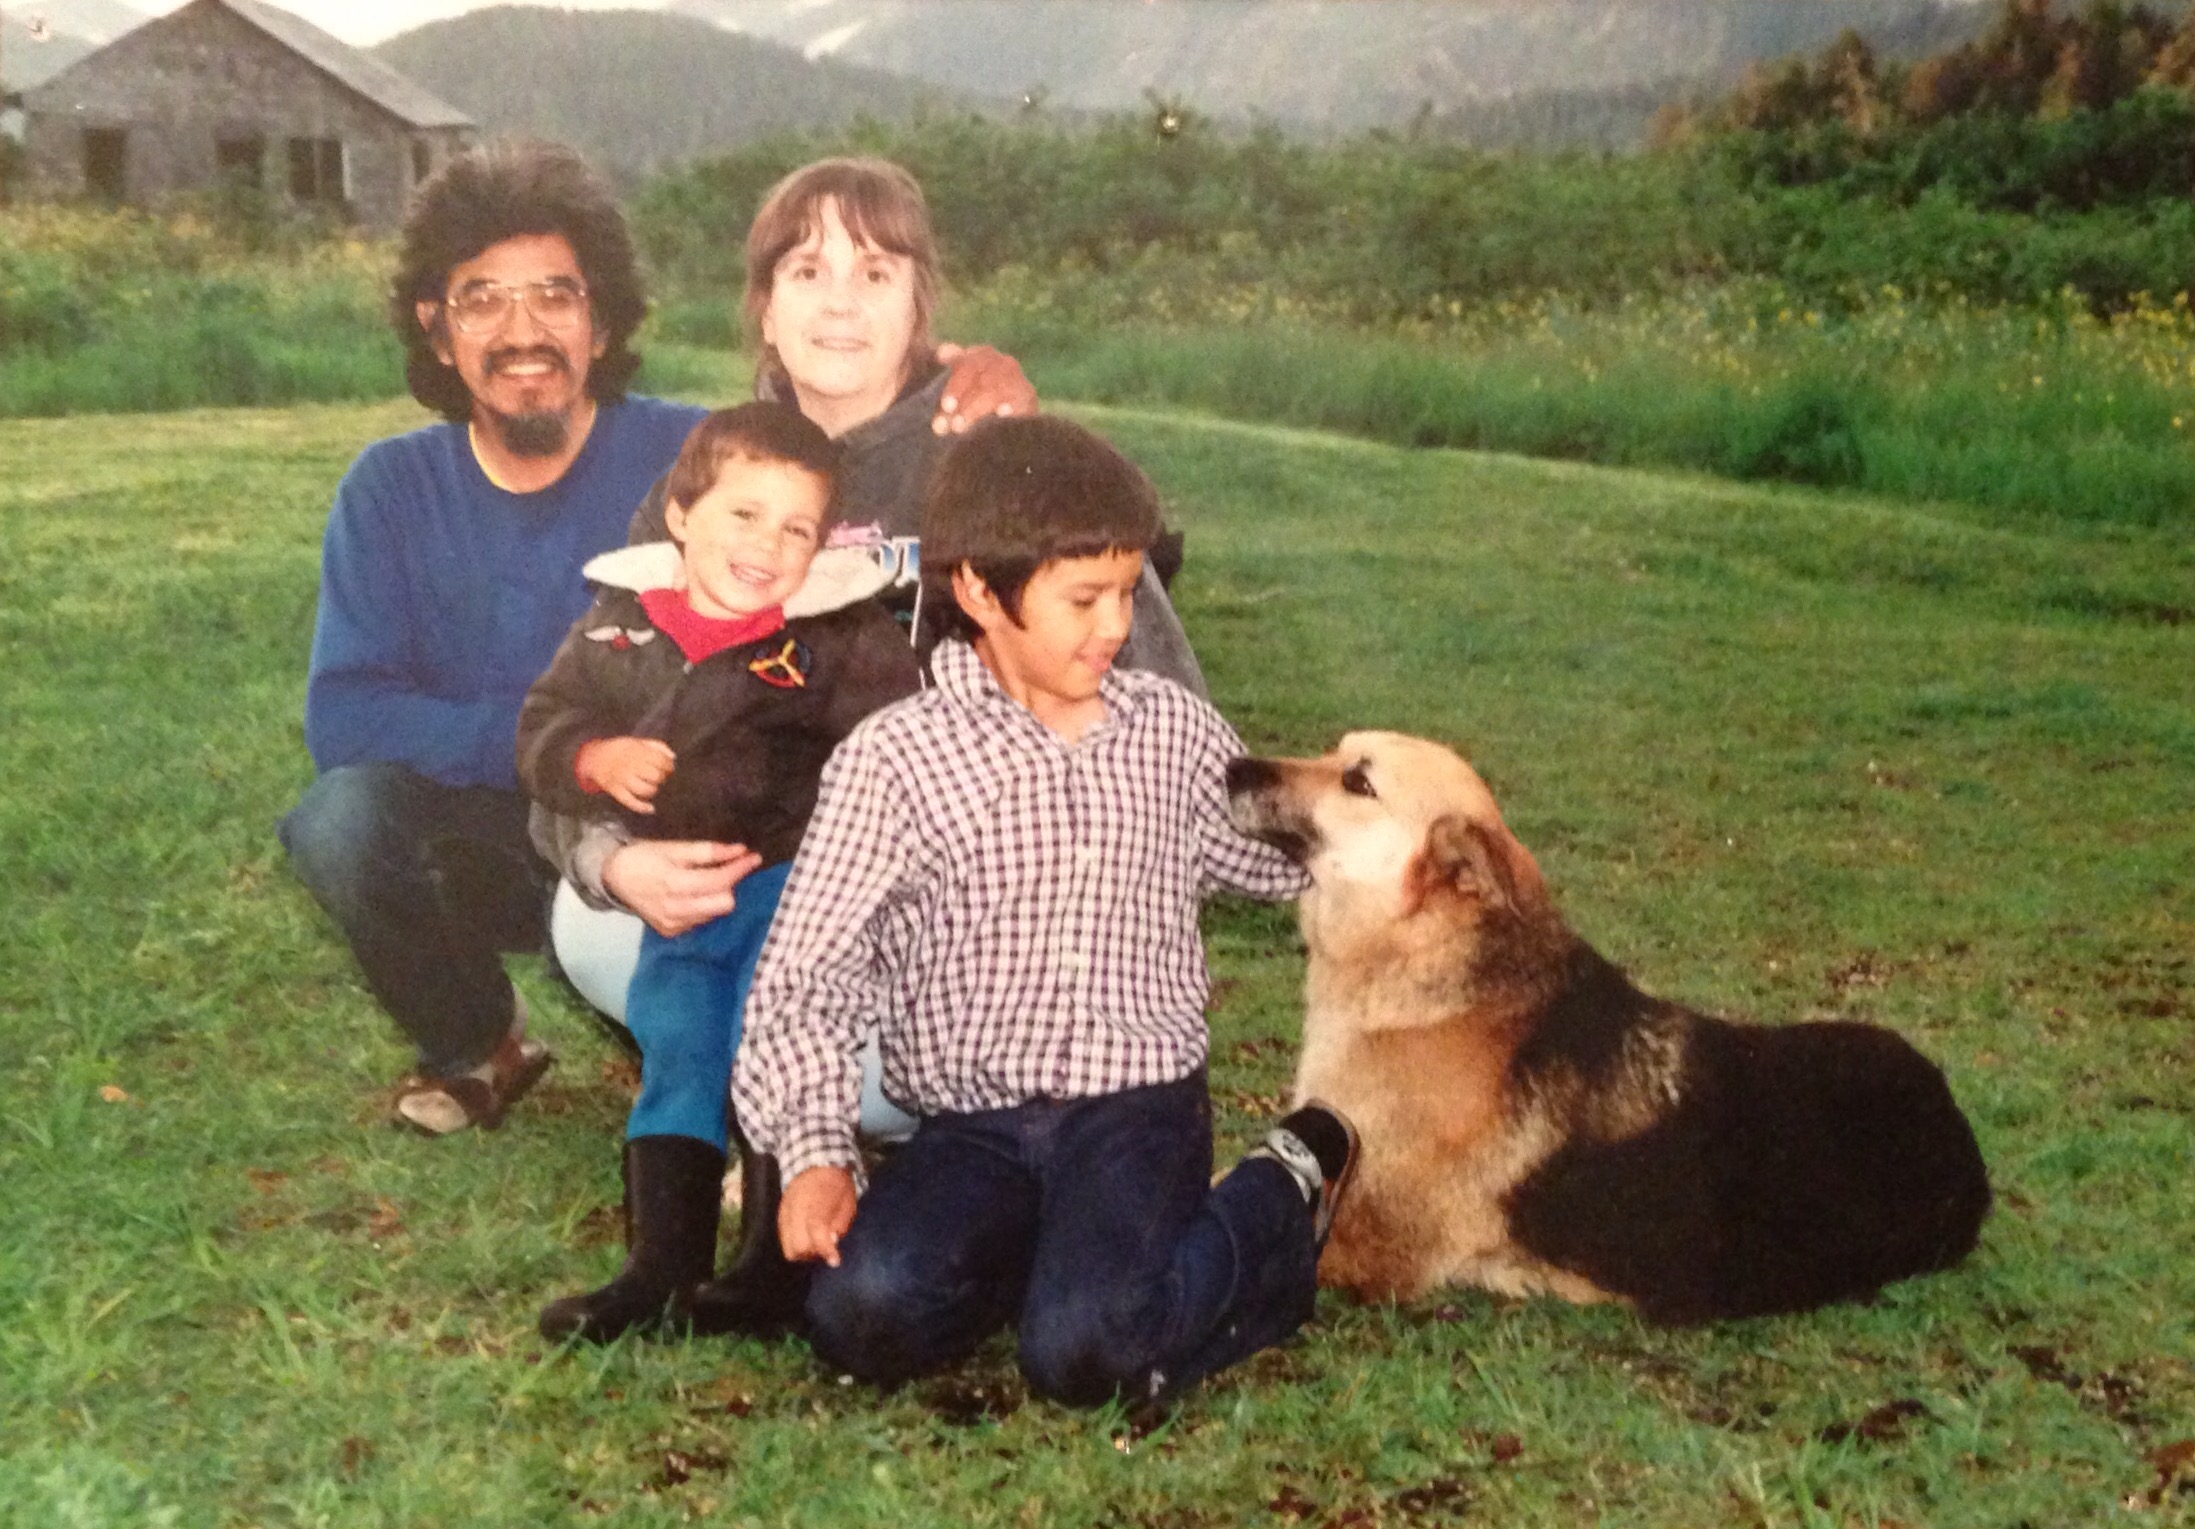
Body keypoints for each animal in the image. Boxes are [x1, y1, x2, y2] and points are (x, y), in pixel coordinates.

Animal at [1225, 731, 1990, 1325]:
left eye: (1357, 780)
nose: (1233, 768)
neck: (1422, 955)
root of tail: (1952, 1119)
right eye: (1332, 750)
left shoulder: (1365, 1240)